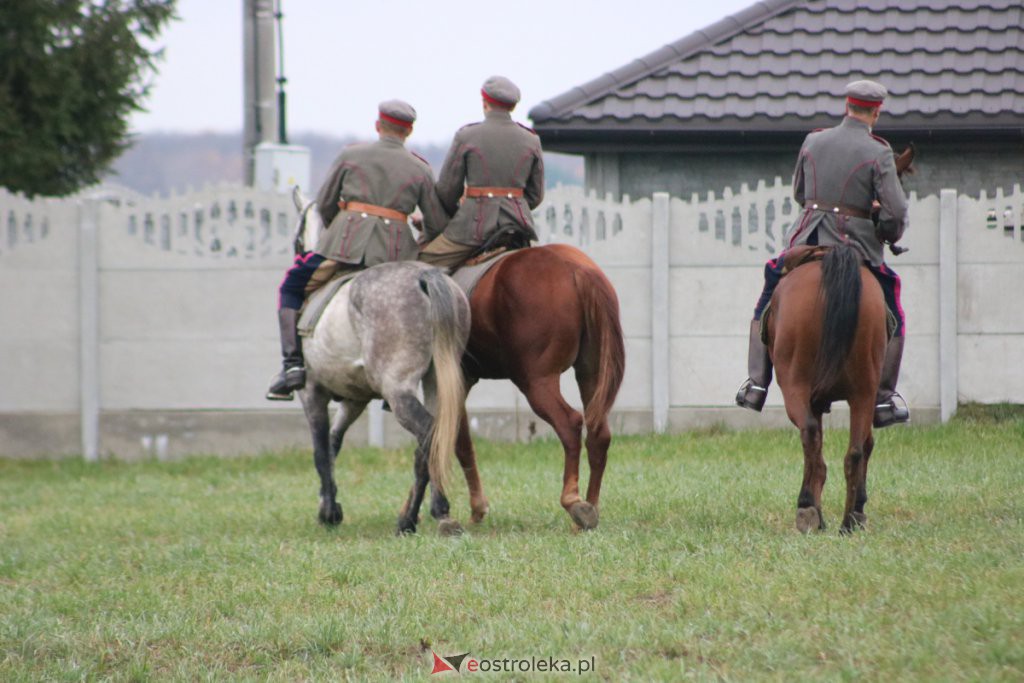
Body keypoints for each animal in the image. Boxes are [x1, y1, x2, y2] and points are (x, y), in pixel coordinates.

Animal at [290, 191, 468, 532]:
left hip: (397, 390)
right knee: (438, 436)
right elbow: (333, 442)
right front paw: (330, 504)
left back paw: (418, 517)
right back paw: (427, 513)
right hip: (437, 382)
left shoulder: (311, 391)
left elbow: (320, 449)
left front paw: (328, 511)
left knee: (428, 436)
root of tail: (424, 276)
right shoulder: (354, 400)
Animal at [454, 242, 622, 532]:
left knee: (570, 423)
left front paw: (475, 509)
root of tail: (578, 269)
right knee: (598, 432)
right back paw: (590, 509)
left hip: (536, 382)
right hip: (591, 373)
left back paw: (573, 503)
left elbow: (454, 442)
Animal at [770, 242, 888, 536]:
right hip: (864, 392)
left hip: (795, 384)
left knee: (811, 433)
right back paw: (848, 521)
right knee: (856, 450)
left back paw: (807, 507)